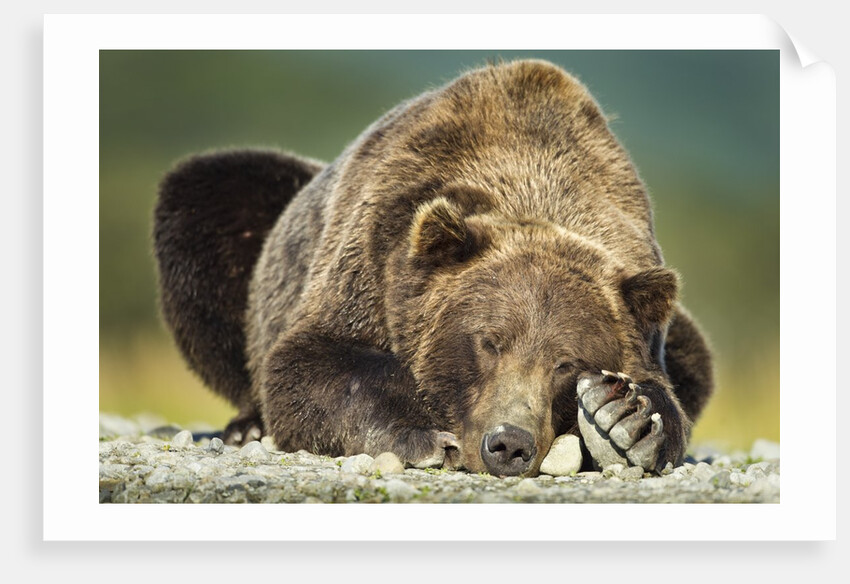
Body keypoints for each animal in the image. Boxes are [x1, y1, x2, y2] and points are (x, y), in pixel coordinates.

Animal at [153, 59, 713, 477]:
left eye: (567, 363)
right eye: (489, 341)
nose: (508, 444)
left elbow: (664, 389)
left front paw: (624, 421)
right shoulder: (373, 255)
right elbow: (309, 362)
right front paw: (420, 435)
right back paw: (246, 426)